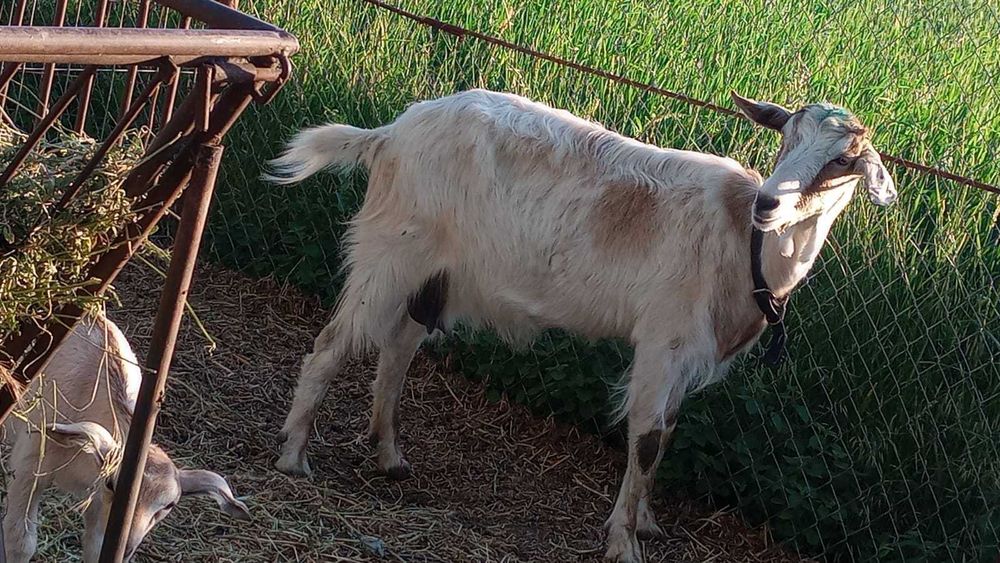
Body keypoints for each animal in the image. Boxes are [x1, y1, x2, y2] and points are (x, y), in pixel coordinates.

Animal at [2, 312, 250, 563]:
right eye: (112, 484)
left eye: (169, 505)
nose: (127, 547)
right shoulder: (28, 468)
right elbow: (20, 541)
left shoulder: (97, 501)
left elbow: (95, 549)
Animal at [266, 89, 896, 562]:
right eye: (785, 138)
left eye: (842, 161)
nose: (768, 204)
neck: (746, 246)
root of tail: (388, 134)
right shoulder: (663, 339)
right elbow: (647, 438)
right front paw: (623, 543)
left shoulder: (685, 356)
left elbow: (667, 433)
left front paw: (646, 522)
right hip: (390, 252)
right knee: (331, 345)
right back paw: (294, 456)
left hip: (433, 274)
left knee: (397, 350)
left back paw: (389, 454)